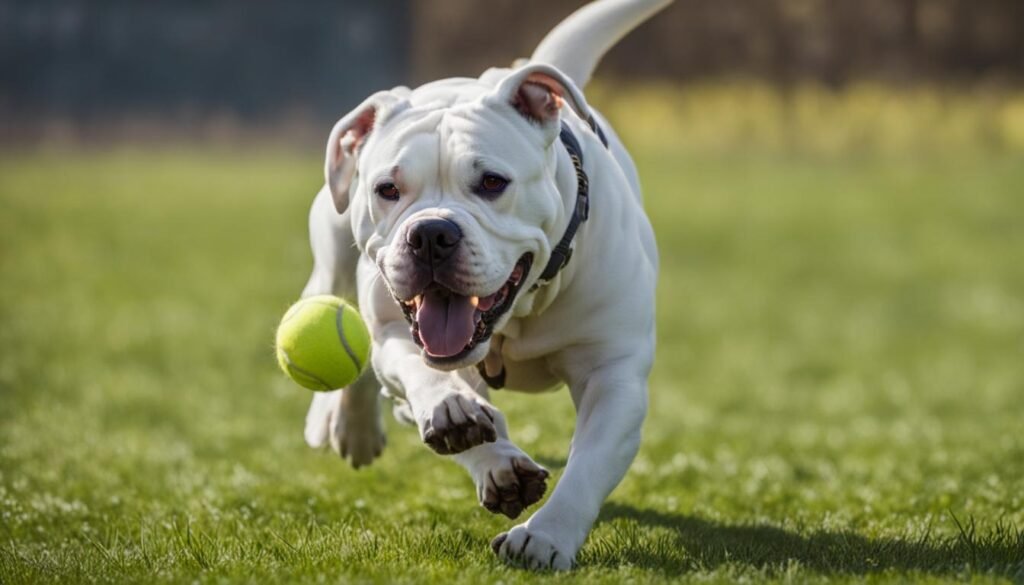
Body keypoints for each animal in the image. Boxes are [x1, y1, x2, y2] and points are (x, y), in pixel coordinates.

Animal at [299, 0, 667, 569]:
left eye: (493, 182)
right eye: (388, 189)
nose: (430, 233)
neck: (521, 313)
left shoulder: (614, 375)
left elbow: (589, 462)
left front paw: (547, 536)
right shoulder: (396, 333)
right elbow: (419, 373)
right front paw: (463, 424)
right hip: (338, 247)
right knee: (339, 312)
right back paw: (348, 423)